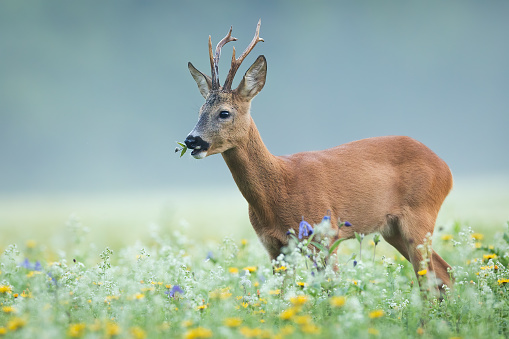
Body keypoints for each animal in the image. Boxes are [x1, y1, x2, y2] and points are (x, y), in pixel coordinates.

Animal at [184, 20, 452, 292]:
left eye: (224, 112)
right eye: (200, 110)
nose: (191, 140)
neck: (278, 190)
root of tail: (445, 168)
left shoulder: (325, 234)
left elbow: (330, 289)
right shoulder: (275, 247)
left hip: (420, 216)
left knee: (431, 279)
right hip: (393, 229)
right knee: (444, 273)